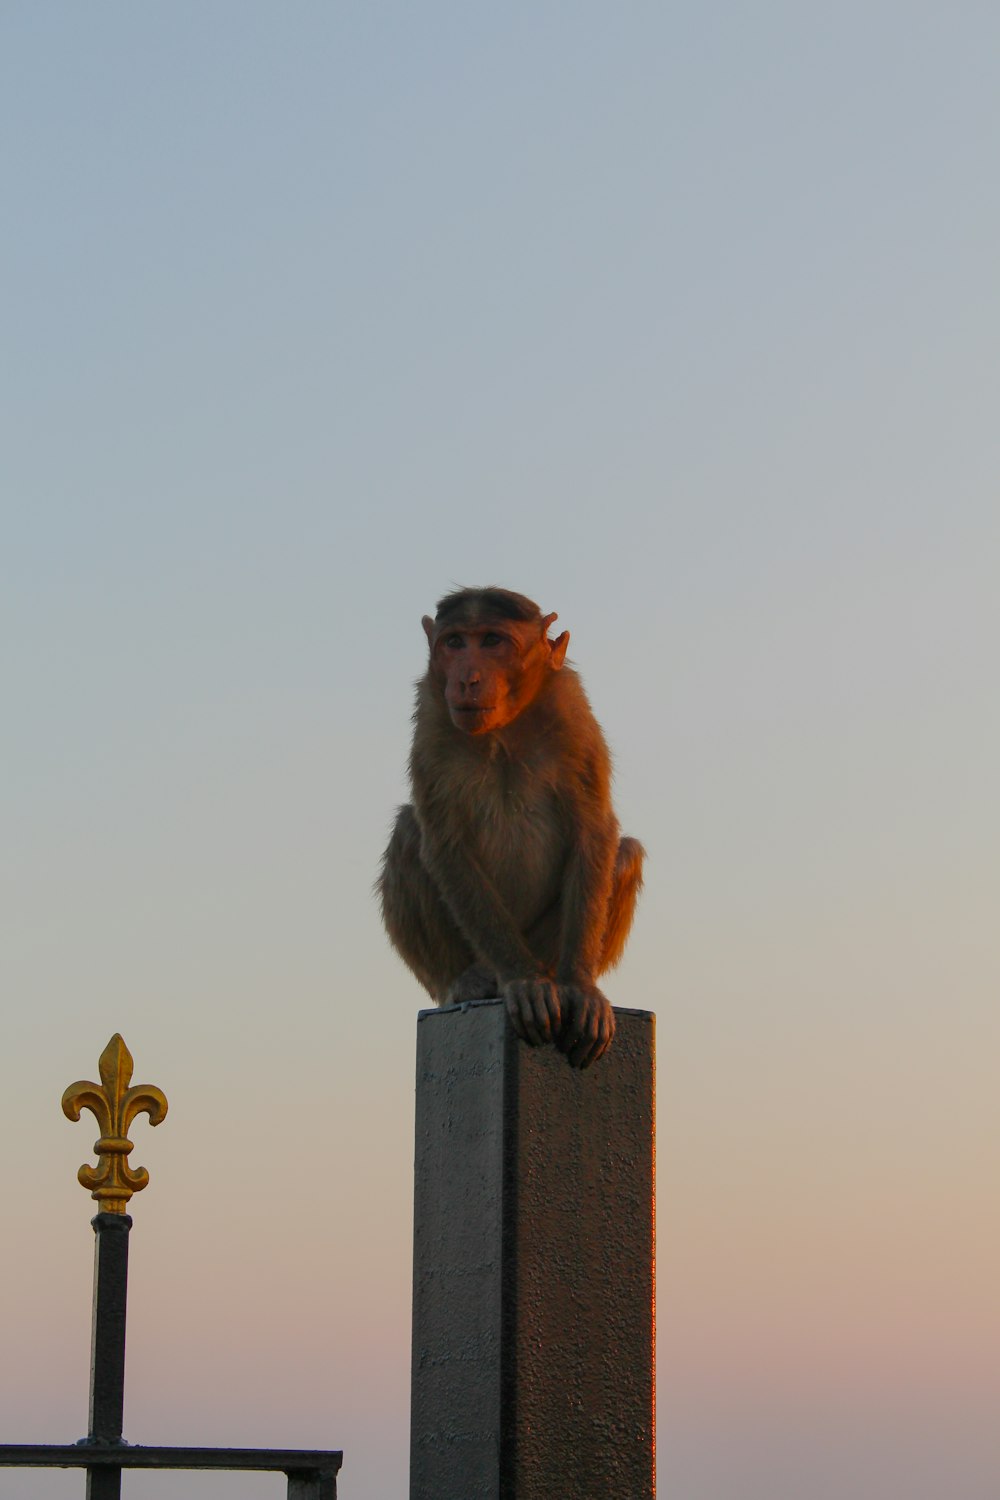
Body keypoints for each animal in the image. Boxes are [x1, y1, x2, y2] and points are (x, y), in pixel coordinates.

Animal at [379, 585, 644, 1068]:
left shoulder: (573, 711)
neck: (505, 728)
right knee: (408, 834)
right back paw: (470, 981)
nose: (466, 679)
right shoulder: (432, 713)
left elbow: (593, 830)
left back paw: (556, 977)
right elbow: (447, 845)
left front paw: (580, 985)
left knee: (625, 852)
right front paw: (523, 981)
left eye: (492, 641)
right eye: (455, 642)